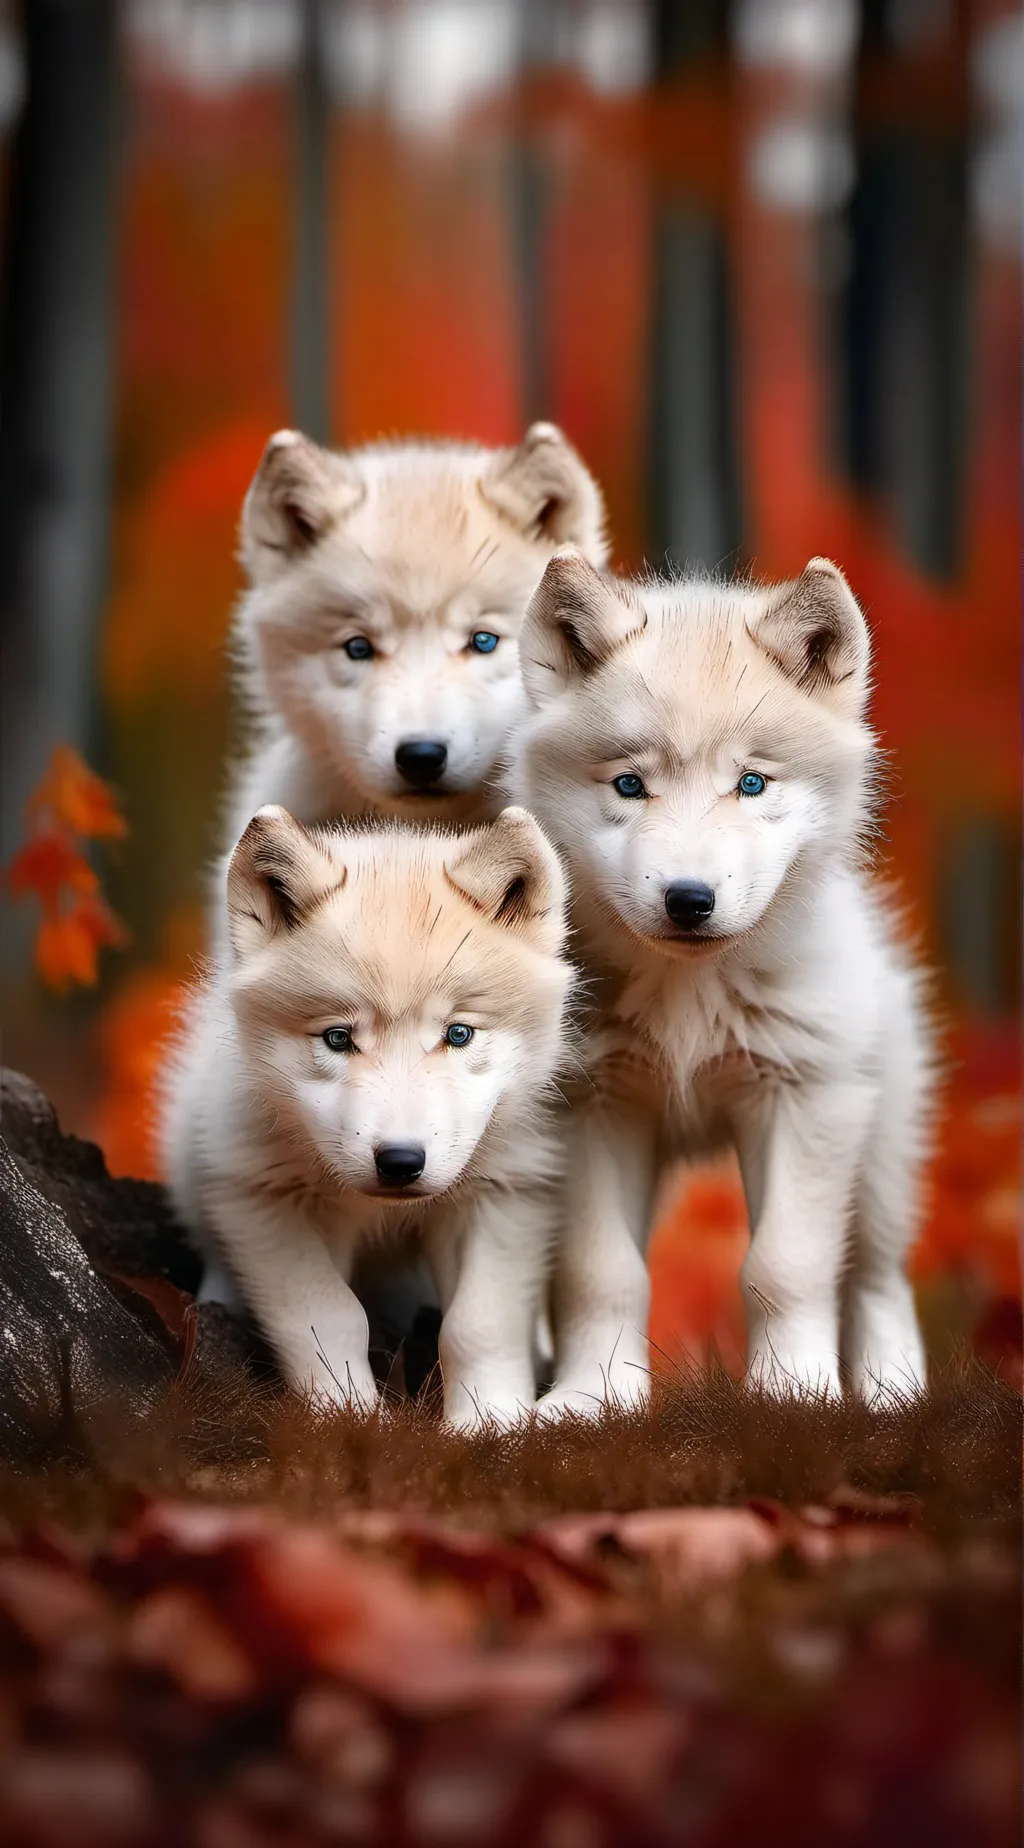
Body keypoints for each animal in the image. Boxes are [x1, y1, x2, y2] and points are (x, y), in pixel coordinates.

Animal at [161, 804, 574, 1428]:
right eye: (338, 1038)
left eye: (458, 1034)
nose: (400, 1161)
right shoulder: (263, 1200)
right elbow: (329, 1320)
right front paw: (346, 1421)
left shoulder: (505, 1195)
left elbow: (477, 1327)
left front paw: (489, 1425)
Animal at [512, 550, 932, 1415]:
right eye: (629, 785)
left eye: (752, 784)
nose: (689, 898)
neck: (689, 995)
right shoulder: (593, 1111)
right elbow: (602, 1273)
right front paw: (593, 1399)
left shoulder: (806, 1101)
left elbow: (784, 1267)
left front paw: (796, 1395)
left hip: (880, 1154)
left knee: (878, 1278)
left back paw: (892, 1395)